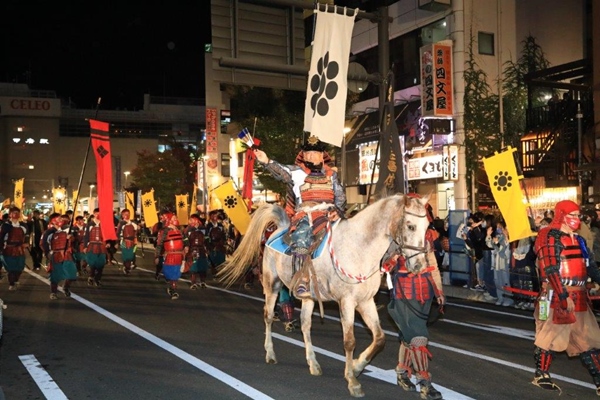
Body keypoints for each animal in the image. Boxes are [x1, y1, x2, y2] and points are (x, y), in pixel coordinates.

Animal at [218, 194, 428, 396]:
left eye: (427, 227)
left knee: (305, 325)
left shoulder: (366, 302)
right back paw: (270, 354)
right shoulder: (347, 302)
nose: (419, 265)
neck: (359, 248)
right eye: (410, 226)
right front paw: (352, 381)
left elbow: (379, 338)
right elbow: (349, 341)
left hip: (308, 297)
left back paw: (313, 363)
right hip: (272, 284)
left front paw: (357, 366)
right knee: (268, 316)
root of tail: (280, 229)